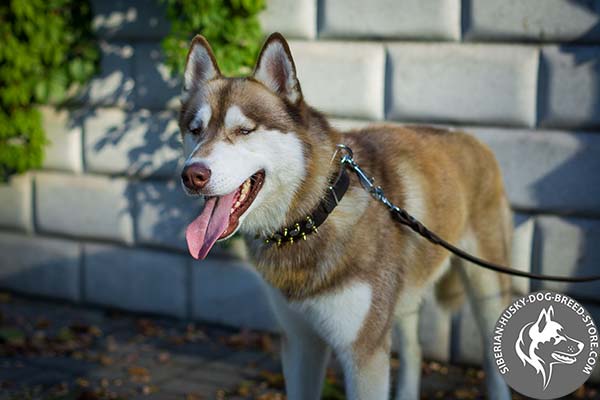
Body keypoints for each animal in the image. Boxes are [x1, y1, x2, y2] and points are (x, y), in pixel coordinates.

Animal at [178, 32, 510, 400]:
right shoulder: (300, 342)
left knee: (490, 351)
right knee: (413, 350)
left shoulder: (363, 352)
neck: (310, 218)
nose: (192, 175)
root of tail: (471, 137)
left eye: (244, 130)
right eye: (195, 130)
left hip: (486, 283)